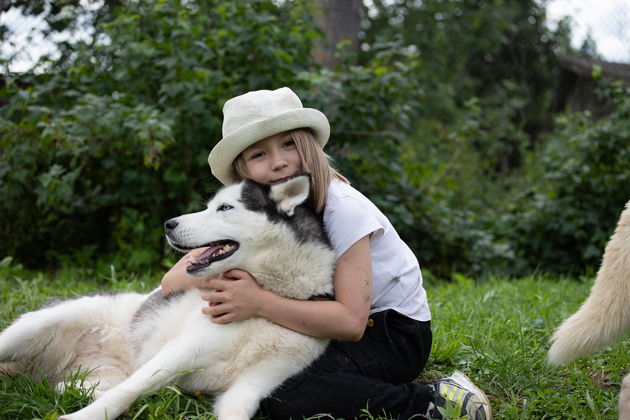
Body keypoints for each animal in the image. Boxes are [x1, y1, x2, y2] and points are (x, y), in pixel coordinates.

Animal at [0, 176, 336, 420]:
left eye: (225, 208)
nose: (168, 224)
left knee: (71, 387)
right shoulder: (181, 351)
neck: (270, 300)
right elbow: (129, 391)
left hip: (94, 375)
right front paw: (81, 419)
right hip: (36, 327)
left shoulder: (252, 385)